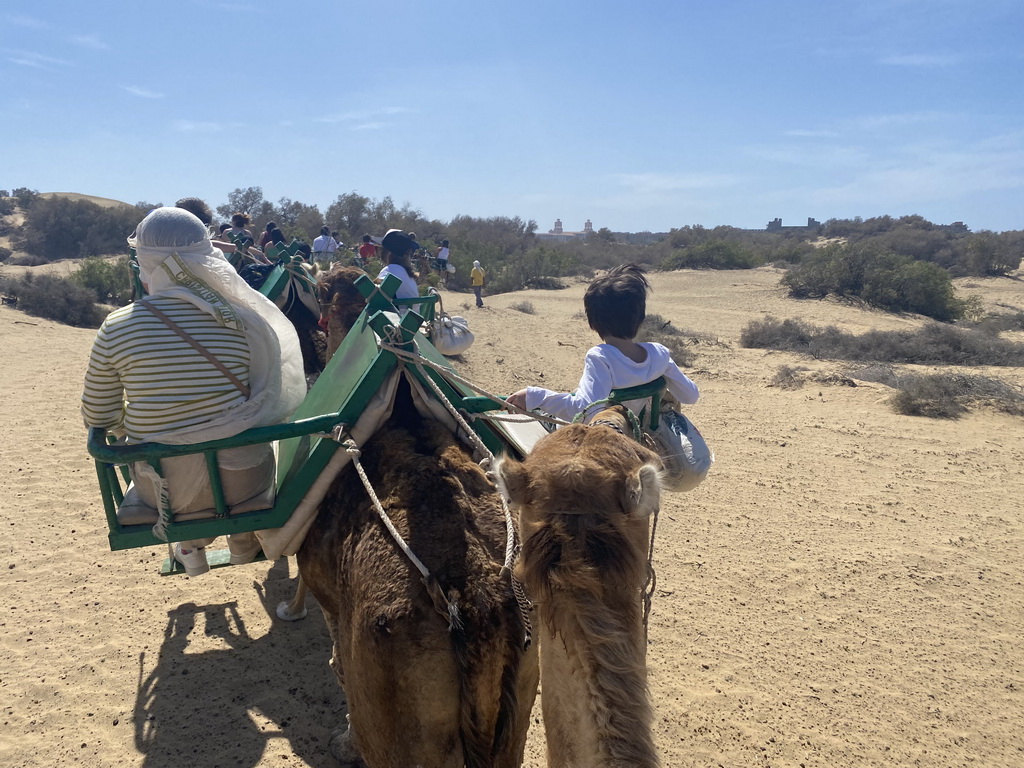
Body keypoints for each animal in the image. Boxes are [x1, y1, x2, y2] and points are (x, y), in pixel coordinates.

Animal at [284, 266, 540, 768]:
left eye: (320, 293)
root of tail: (476, 605)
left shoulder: (330, 598)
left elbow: (338, 664)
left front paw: (344, 741)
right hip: (519, 696)